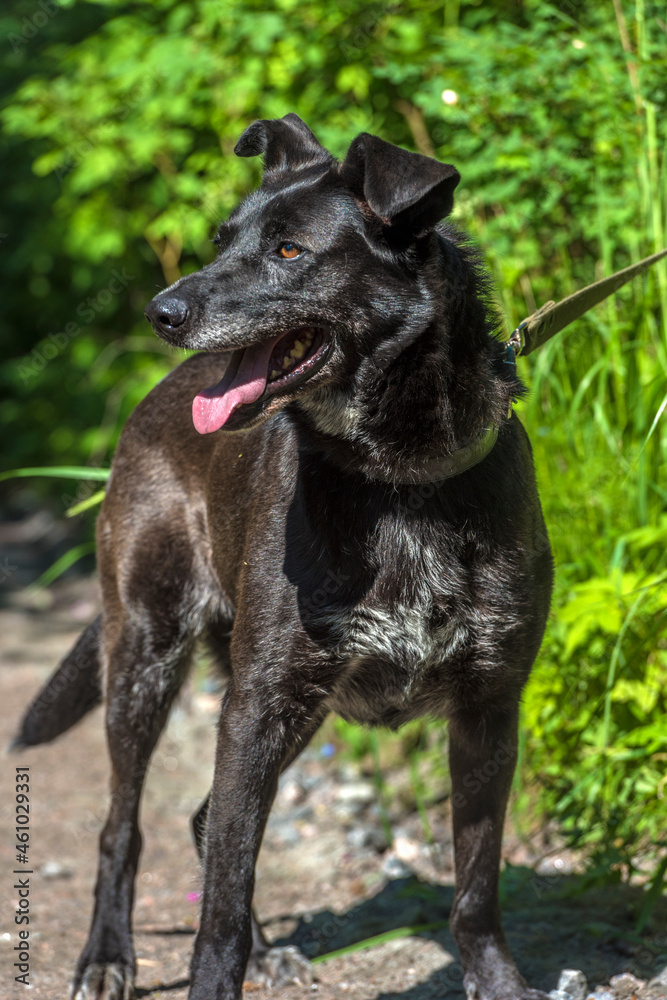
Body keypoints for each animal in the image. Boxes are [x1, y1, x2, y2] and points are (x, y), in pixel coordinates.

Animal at [17, 113, 560, 996]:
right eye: (221, 240)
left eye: (288, 250)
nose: (161, 311)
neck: (395, 478)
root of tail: (155, 397)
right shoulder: (257, 706)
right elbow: (217, 915)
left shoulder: (487, 709)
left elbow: (476, 889)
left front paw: (498, 981)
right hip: (149, 659)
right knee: (124, 828)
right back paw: (106, 955)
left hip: (291, 705)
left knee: (207, 819)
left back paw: (266, 948)